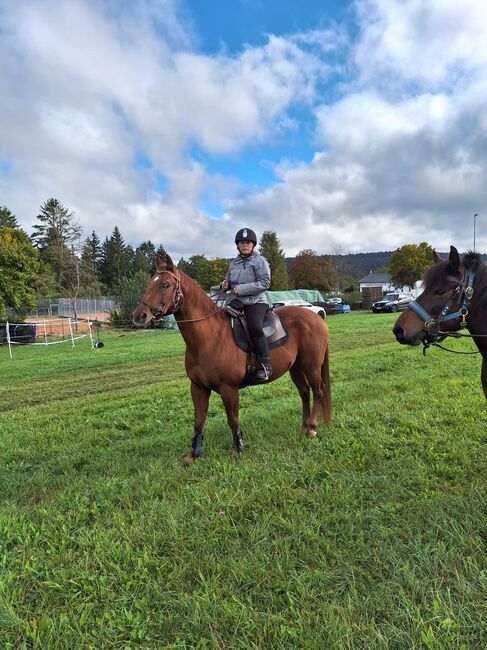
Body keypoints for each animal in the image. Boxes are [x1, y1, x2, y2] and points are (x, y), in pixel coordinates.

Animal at [133, 253, 332, 460]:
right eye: (150, 283)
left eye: (165, 284)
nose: (140, 315)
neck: (210, 337)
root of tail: (316, 317)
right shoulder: (198, 387)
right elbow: (198, 421)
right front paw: (193, 454)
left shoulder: (229, 388)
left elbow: (232, 419)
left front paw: (237, 448)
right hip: (296, 368)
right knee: (304, 392)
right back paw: (304, 427)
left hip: (311, 366)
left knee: (318, 391)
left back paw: (311, 428)